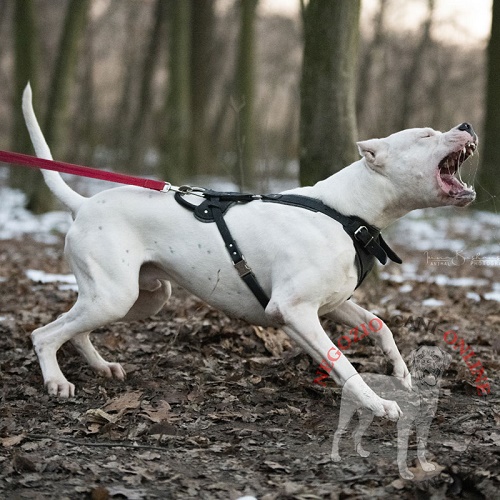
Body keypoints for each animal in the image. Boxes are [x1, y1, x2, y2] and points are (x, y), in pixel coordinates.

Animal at [22, 84, 476, 420]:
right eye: (425, 135)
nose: (468, 123)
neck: (346, 212)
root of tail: (83, 204)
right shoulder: (293, 310)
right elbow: (343, 362)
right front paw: (378, 404)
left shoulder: (332, 304)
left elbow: (380, 326)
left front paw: (401, 374)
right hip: (116, 297)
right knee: (44, 334)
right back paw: (56, 381)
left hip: (140, 297)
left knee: (76, 327)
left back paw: (100, 366)